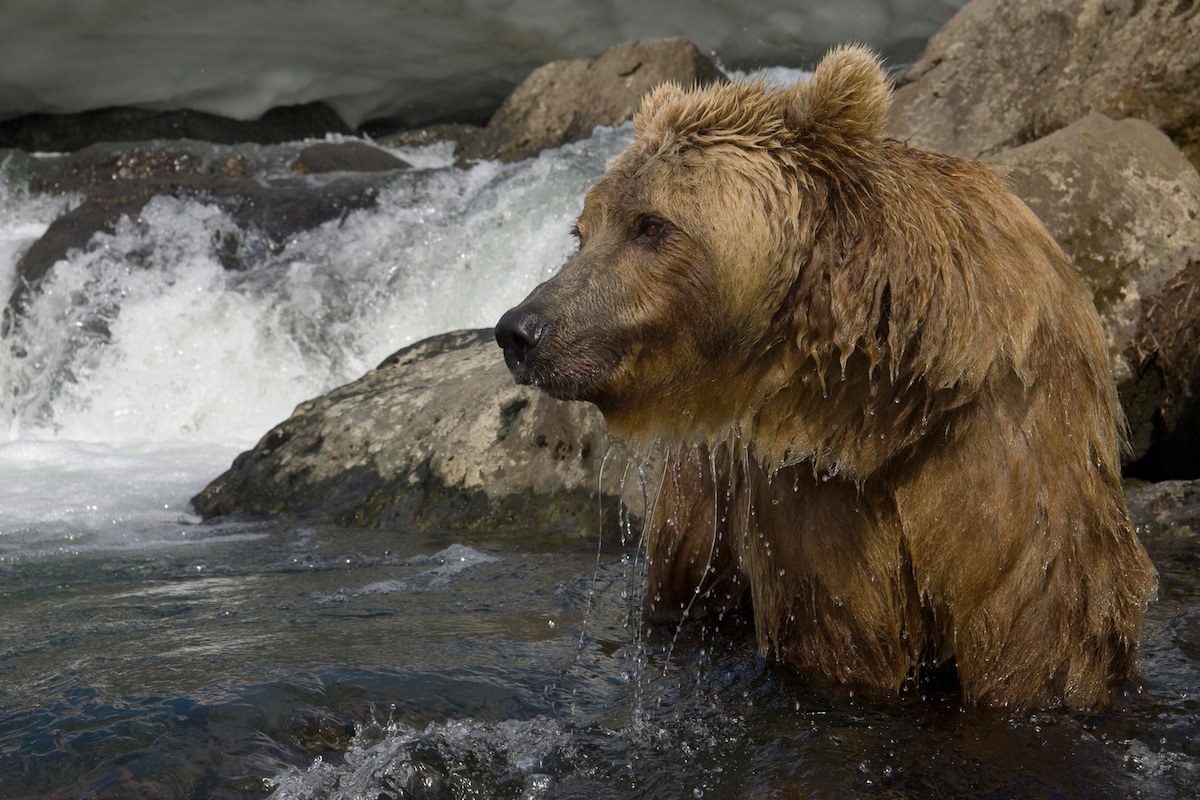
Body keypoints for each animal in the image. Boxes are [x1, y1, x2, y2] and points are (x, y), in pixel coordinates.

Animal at [492, 47, 1156, 710]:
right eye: (583, 230)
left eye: (649, 224)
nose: (519, 328)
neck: (889, 400)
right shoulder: (811, 495)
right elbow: (841, 637)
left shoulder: (1012, 448)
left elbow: (1037, 633)